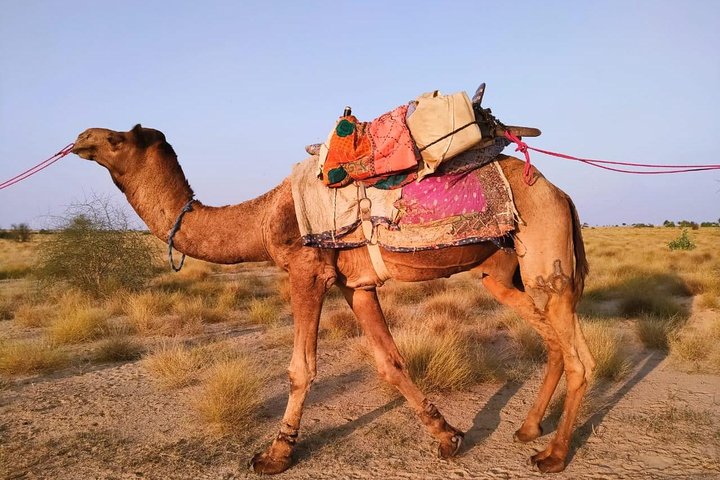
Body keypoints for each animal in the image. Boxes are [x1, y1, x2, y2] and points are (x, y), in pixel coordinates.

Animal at [71, 124, 594, 474]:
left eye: (116, 140)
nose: (81, 138)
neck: (263, 216)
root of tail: (563, 195)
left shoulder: (307, 270)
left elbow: (300, 368)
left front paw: (276, 453)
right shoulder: (354, 285)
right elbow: (390, 362)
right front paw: (447, 436)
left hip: (544, 254)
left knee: (580, 357)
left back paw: (553, 454)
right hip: (504, 272)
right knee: (553, 342)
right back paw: (528, 428)